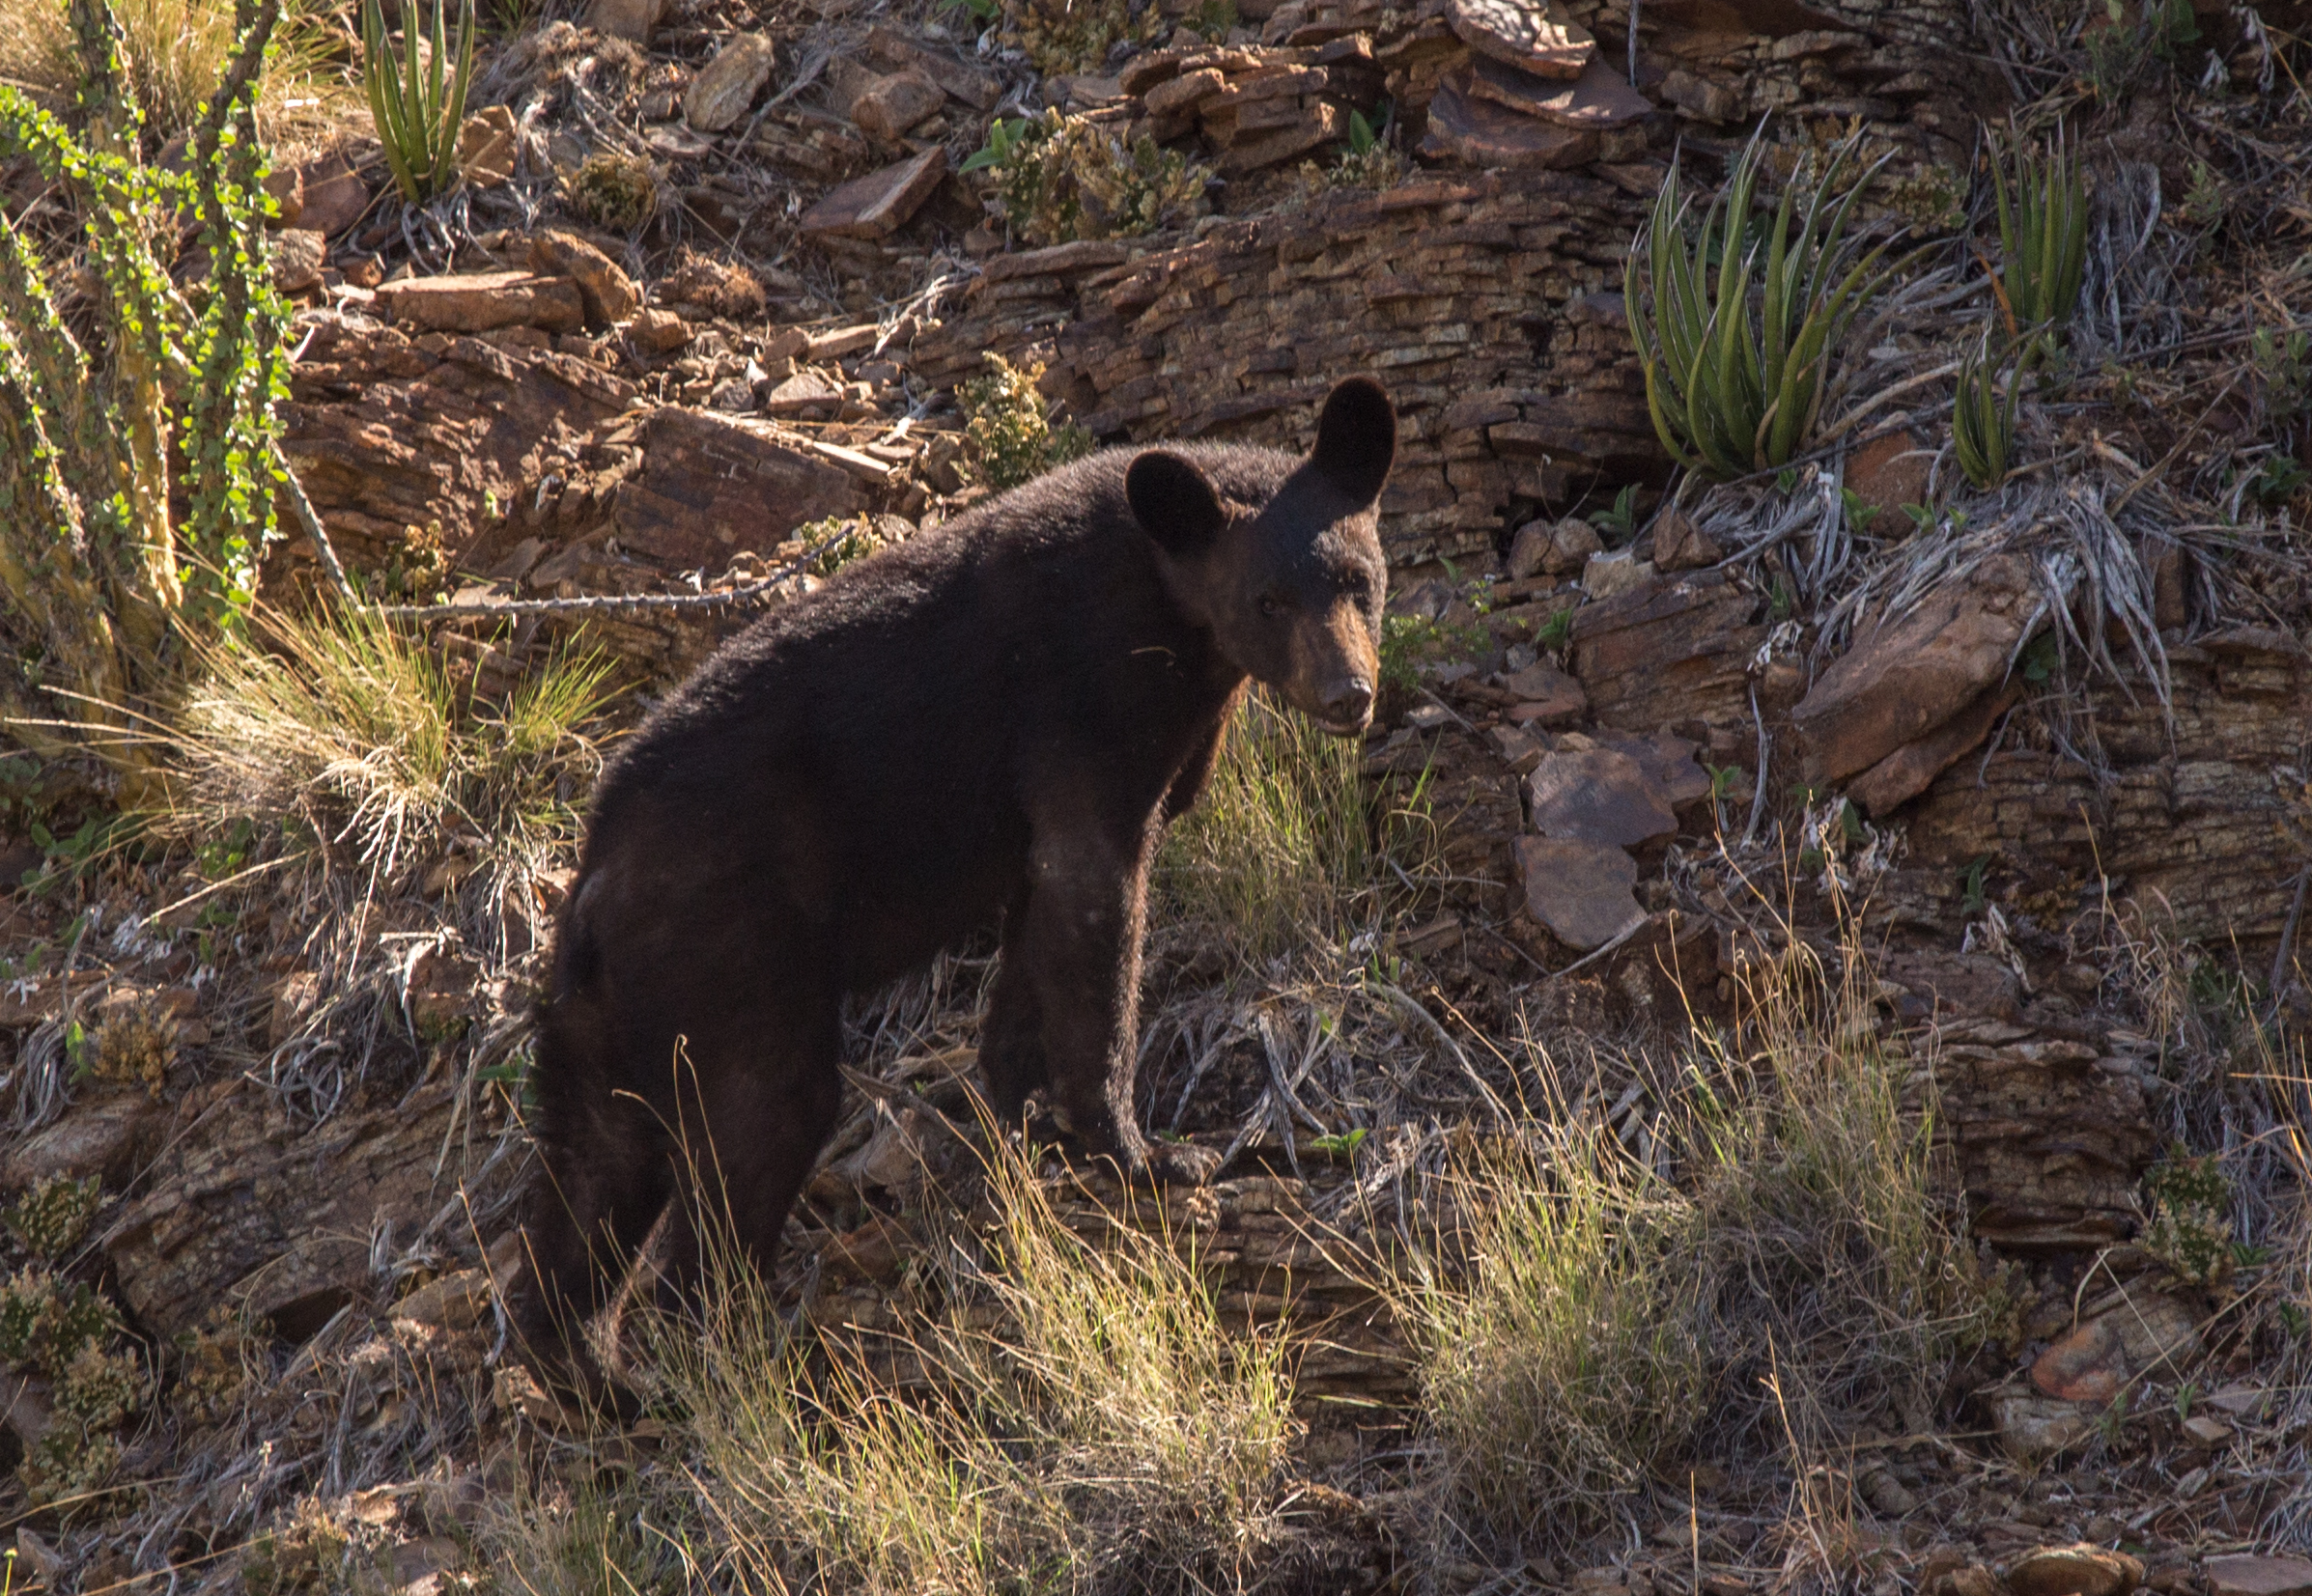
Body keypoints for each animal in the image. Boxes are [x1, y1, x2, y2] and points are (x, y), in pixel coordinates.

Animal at [515, 367, 1396, 1369]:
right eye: (1267, 601)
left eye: (1360, 582)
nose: (1350, 694)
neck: (1171, 614)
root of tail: (588, 890)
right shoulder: (1081, 716)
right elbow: (1097, 911)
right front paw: (1151, 1152)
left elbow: (1033, 950)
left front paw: (1014, 1120)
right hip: (728, 952)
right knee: (757, 1128)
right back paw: (744, 1349)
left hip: (608, 1017)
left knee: (591, 1170)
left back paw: (593, 1369)